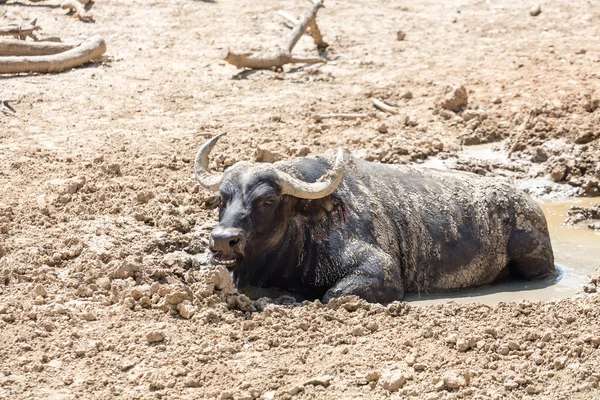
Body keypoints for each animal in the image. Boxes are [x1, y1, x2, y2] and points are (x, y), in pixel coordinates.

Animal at [196, 134, 556, 304]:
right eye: (221, 198)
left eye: (267, 200)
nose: (223, 240)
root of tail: (528, 202)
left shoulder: (381, 271)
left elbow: (331, 296)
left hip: (538, 263)